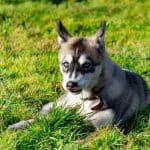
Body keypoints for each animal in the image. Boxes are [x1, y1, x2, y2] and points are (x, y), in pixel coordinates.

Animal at [7, 20, 149, 129]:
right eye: (65, 64)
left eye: (86, 65)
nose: (70, 84)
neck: (85, 99)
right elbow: (44, 118)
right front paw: (20, 125)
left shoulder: (104, 128)